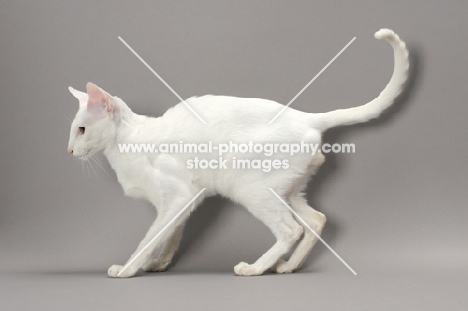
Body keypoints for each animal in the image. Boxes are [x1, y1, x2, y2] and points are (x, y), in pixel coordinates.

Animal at [67, 28, 408, 278]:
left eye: (81, 130)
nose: (69, 150)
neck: (126, 142)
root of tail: (305, 117)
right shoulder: (183, 202)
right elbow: (170, 236)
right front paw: (158, 265)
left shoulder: (177, 197)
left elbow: (150, 237)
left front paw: (127, 269)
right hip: (287, 191)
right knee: (317, 219)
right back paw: (288, 267)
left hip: (250, 187)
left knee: (291, 229)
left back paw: (255, 268)